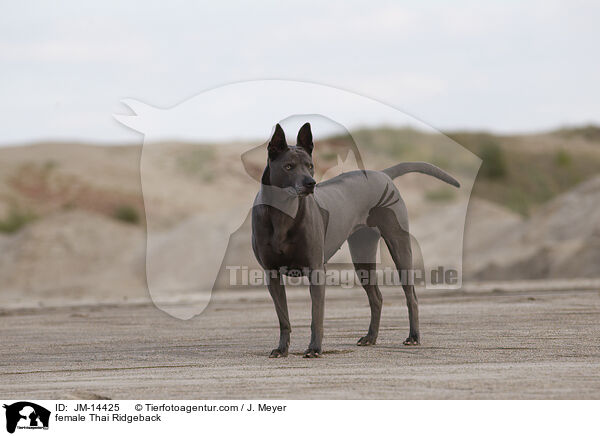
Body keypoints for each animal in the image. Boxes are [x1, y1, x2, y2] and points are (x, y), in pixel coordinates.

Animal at [251, 122, 462, 358]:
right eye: (288, 166)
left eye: (309, 166)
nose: (311, 183)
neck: (284, 213)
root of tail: (383, 174)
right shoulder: (272, 274)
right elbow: (283, 319)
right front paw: (281, 349)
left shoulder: (316, 270)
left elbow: (316, 317)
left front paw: (314, 349)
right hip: (362, 256)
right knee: (376, 297)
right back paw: (371, 337)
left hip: (399, 246)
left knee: (411, 296)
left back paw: (413, 337)